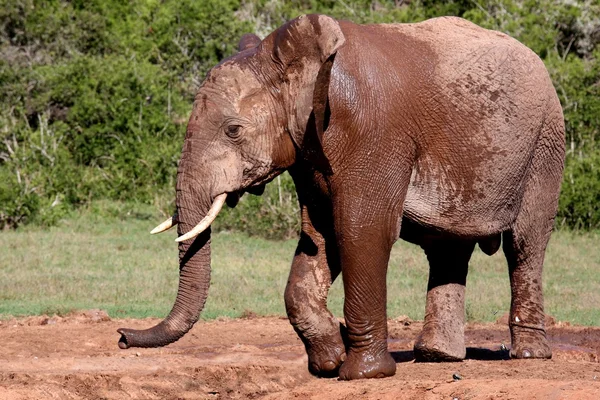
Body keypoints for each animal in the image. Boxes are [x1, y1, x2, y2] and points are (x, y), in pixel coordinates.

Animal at [115, 14, 564, 380]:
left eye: (233, 131)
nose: (121, 335)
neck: (302, 65)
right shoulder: (309, 150)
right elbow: (319, 237)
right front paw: (329, 361)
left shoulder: (372, 130)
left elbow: (361, 231)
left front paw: (363, 373)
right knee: (447, 250)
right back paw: (437, 357)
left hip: (545, 143)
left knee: (525, 245)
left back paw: (527, 355)